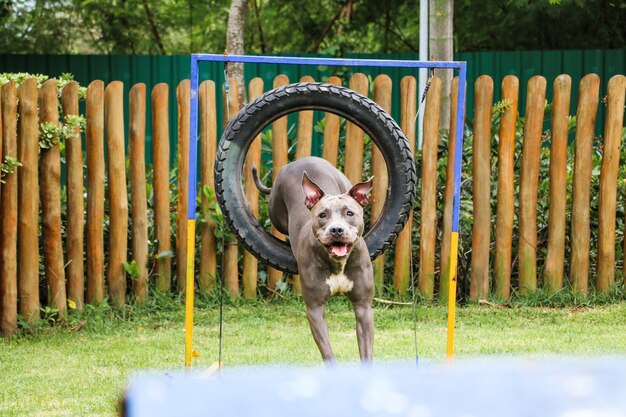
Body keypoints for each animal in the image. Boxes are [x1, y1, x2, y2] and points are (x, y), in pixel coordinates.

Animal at [251, 156, 372, 364]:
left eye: (349, 213)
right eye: (322, 215)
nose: (336, 229)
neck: (337, 263)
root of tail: (302, 160)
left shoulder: (363, 306)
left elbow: (366, 351)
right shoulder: (315, 309)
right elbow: (328, 353)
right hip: (275, 211)